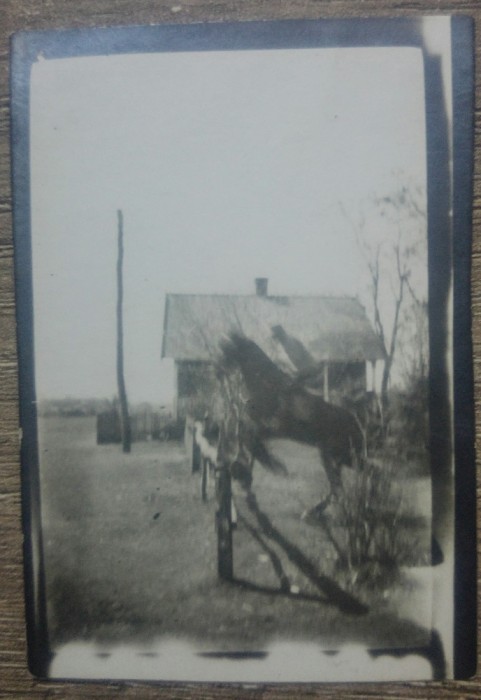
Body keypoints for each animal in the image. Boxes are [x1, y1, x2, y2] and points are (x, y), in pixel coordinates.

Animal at [219, 330, 366, 516]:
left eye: (227, 349)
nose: (218, 371)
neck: (270, 389)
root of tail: (356, 424)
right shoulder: (259, 426)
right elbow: (245, 436)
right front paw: (248, 469)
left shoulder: (272, 427)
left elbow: (249, 438)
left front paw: (274, 466)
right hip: (337, 456)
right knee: (342, 484)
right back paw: (317, 510)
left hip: (334, 455)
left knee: (344, 483)